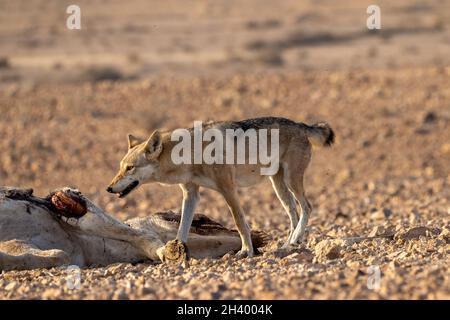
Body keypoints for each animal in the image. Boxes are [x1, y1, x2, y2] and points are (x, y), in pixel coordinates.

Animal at [106, 116, 334, 258]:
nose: (109, 188)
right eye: (120, 167)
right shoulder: (191, 194)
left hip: (291, 181)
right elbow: (182, 227)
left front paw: (246, 251)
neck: (191, 153)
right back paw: (290, 244)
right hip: (278, 185)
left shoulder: (228, 189)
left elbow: (240, 222)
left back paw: (294, 241)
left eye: (130, 168)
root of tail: (301, 124)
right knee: (293, 212)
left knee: (307, 207)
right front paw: (176, 251)